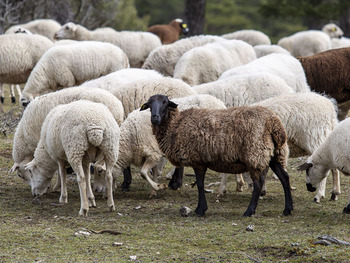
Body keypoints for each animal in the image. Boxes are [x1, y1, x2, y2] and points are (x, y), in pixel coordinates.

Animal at [141, 94, 294, 218]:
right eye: (149, 104)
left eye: (165, 102)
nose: (155, 118)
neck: (176, 124)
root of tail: (274, 123)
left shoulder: (197, 161)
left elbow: (200, 185)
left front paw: (200, 209)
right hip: (274, 154)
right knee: (284, 177)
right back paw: (288, 209)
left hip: (255, 154)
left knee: (258, 184)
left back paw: (249, 211)